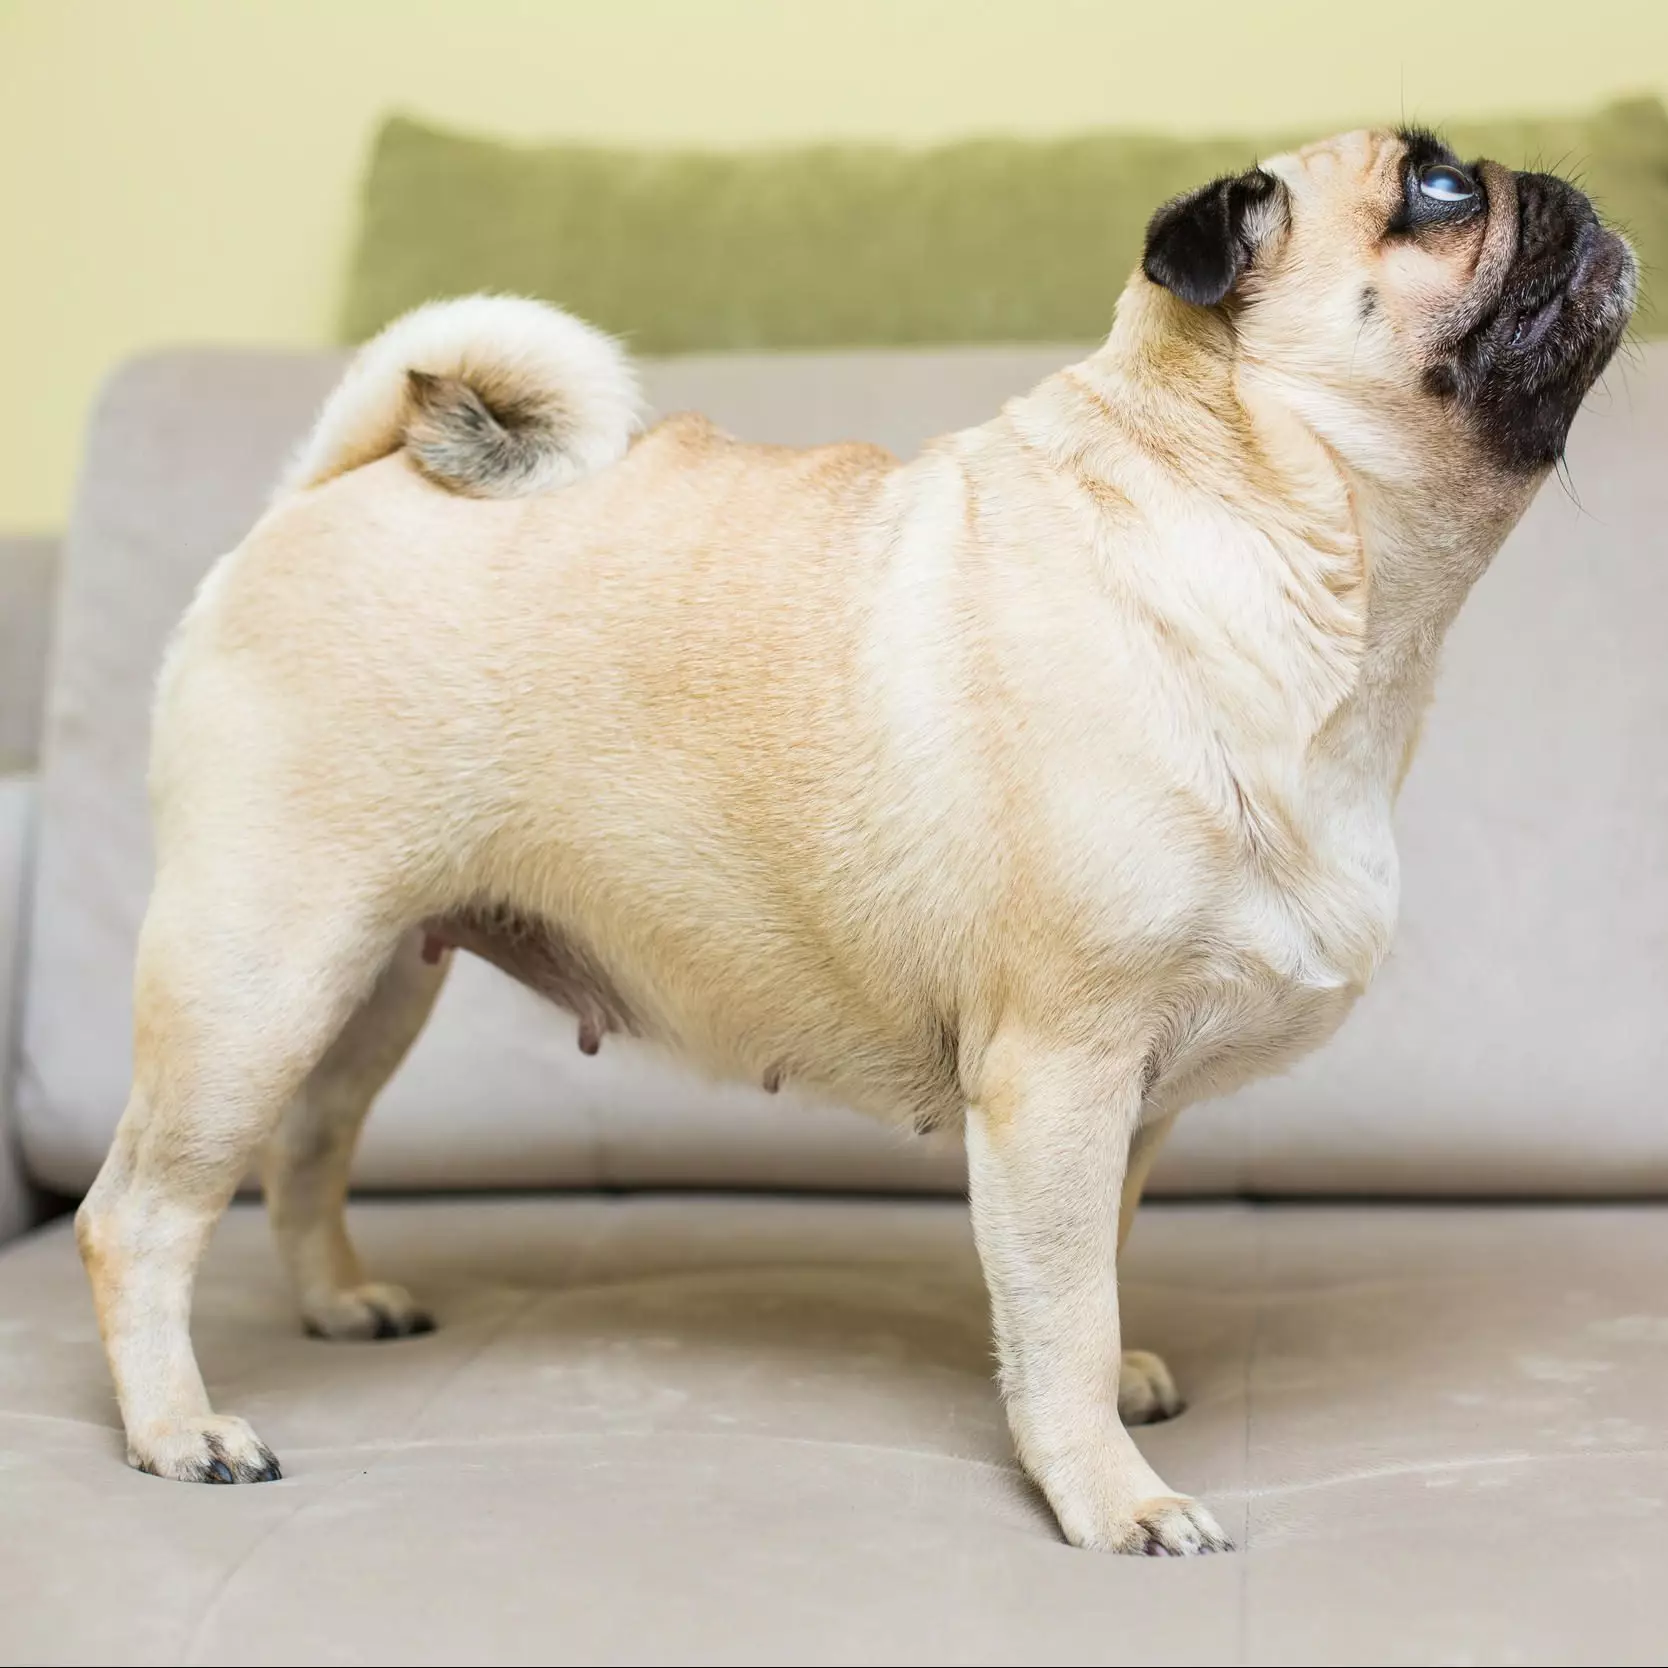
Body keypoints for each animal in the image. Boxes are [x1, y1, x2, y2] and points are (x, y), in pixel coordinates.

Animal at [77, 127, 1635, 1555]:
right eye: (1439, 190)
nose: (1565, 184)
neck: (1274, 550)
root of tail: (335, 485)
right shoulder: (1059, 1074)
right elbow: (1062, 1308)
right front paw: (1109, 1496)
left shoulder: (1124, 1109)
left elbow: (1092, 1273)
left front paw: (1109, 1400)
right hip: (260, 974)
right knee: (139, 1216)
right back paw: (179, 1431)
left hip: (372, 980)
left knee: (306, 1151)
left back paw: (341, 1304)